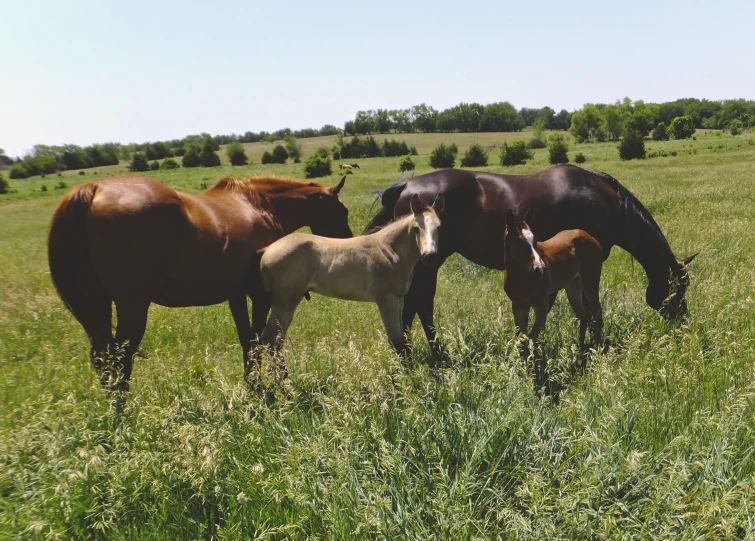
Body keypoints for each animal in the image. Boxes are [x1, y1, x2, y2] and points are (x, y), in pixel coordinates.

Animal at [49, 175, 354, 390]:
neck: (259, 206)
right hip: (132, 306)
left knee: (103, 359)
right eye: (344, 211)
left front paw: (252, 384)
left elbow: (247, 340)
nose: (348, 244)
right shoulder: (260, 296)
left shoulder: (236, 294)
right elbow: (258, 340)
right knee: (120, 360)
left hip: (98, 307)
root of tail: (93, 190)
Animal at [366, 165, 696, 354]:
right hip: (428, 265)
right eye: (679, 288)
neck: (606, 201)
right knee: (420, 305)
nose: (683, 323)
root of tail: (407, 187)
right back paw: (430, 355)